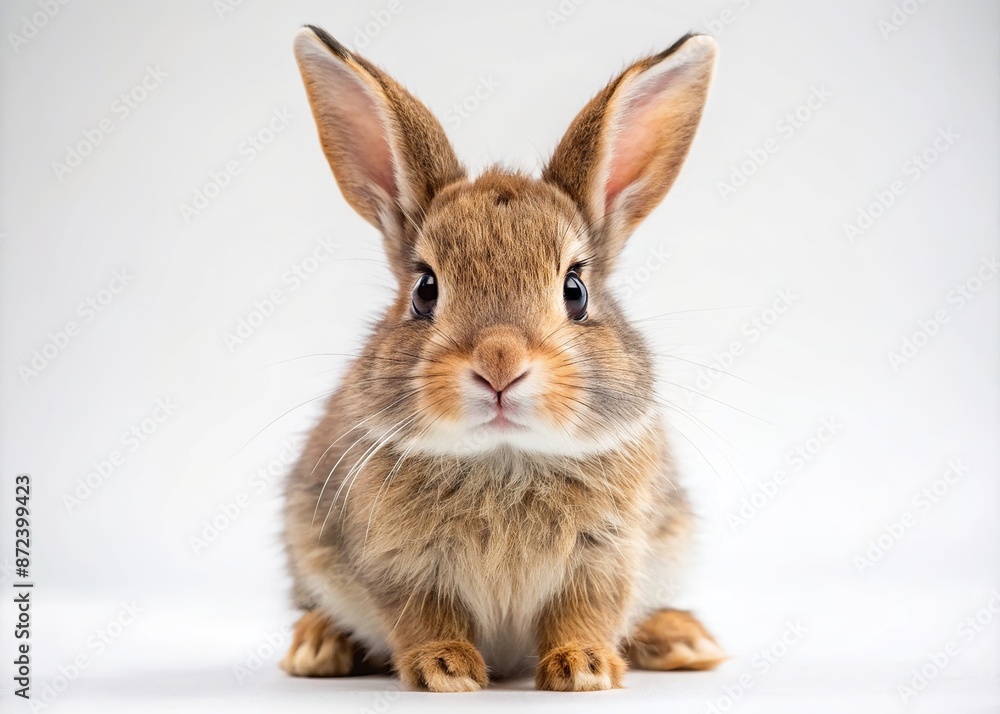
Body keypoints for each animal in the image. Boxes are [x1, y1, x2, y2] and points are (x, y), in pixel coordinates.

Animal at [280, 24, 724, 692]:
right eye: (425, 290)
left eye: (576, 290)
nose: (499, 363)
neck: (504, 456)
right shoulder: (400, 565)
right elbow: (424, 617)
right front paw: (445, 670)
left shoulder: (605, 557)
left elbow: (584, 613)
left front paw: (584, 668)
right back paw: (315, 647)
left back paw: (685, 641)